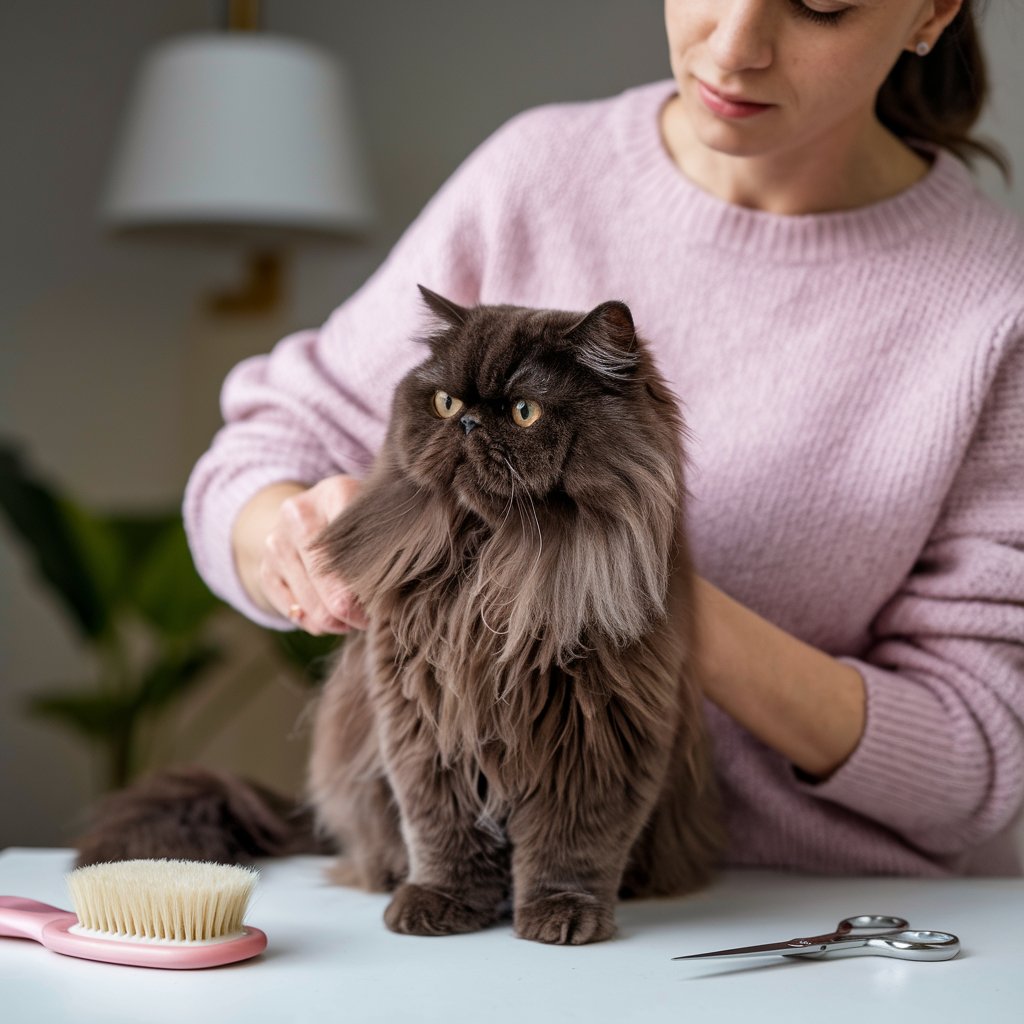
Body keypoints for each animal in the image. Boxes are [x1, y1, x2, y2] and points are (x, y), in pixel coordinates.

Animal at [307, 286, 716, 942]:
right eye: (446, 402)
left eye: (525, 412)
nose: (469, 421)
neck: (497, 565)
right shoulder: (424, 721)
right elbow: (443, 830)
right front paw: (440, 902)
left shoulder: (601, 735)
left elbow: (571, 843)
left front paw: (562, 913)